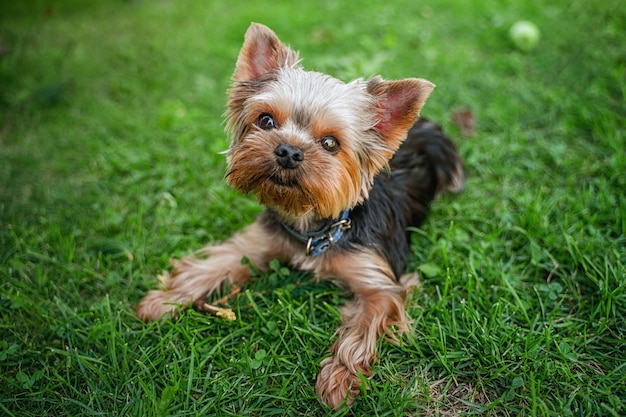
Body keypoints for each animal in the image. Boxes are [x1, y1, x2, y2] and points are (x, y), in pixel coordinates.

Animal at [136, 22, 460, 406]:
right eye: (265, 120)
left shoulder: (379, 282)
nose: (288, 151)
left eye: (331, 143)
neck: (314, 225)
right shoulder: (260, 240)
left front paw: (339, 378)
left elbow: (364, 327)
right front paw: (164, 300)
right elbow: (211, 265)